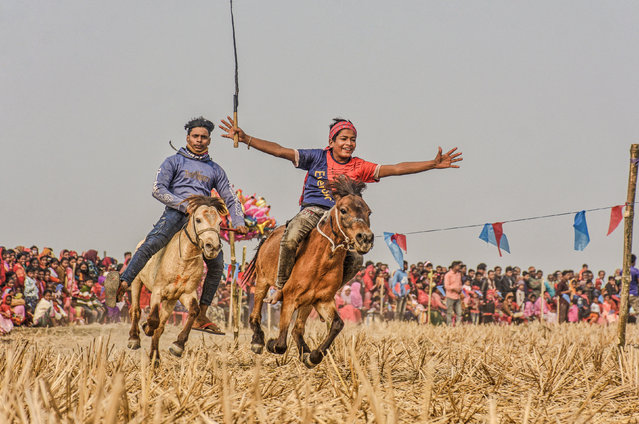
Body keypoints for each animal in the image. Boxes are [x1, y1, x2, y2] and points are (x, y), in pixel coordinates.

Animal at [125, 195, 228, 364]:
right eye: (198, 219)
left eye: (220, 222)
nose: (212, 247)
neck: (183, 260)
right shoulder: (158, 291)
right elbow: (153, 318)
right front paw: (147, 327)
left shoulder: (186, 293)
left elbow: (193, 311)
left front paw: (178, 345)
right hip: (136, 282)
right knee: (135, 309)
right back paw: (134, 338)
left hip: (171, 301)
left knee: (160, 327)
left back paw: (155, 358)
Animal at [246, 176, 376, 368]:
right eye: (343, 210)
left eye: (369, 212)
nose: (365, 238)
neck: (321, 262)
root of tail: (268, 236)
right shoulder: (290, 298)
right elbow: (280, 343)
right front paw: (271, 343)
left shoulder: (323, 300)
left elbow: (337, 324)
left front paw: (313, 356)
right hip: (262, 280)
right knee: (255, 313)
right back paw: (257, 340)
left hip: (307, 302)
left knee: (298, 329)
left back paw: (305, 351)